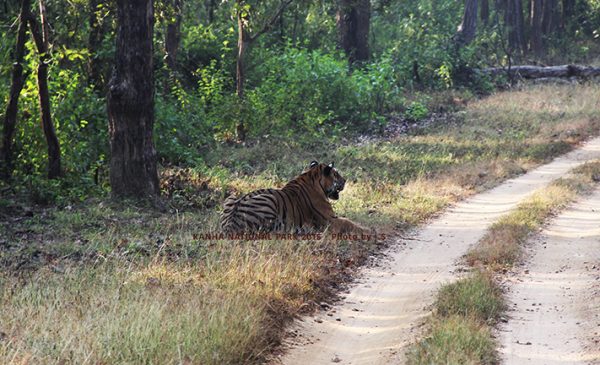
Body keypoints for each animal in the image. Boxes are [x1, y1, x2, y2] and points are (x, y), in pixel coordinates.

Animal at [220, 160, 368, 236]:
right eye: (336, 175)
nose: (345, 181)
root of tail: (229, 225)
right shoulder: (329, 220)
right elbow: (349, 222)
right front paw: (367, 230)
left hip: (231, 198)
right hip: (269, 200)